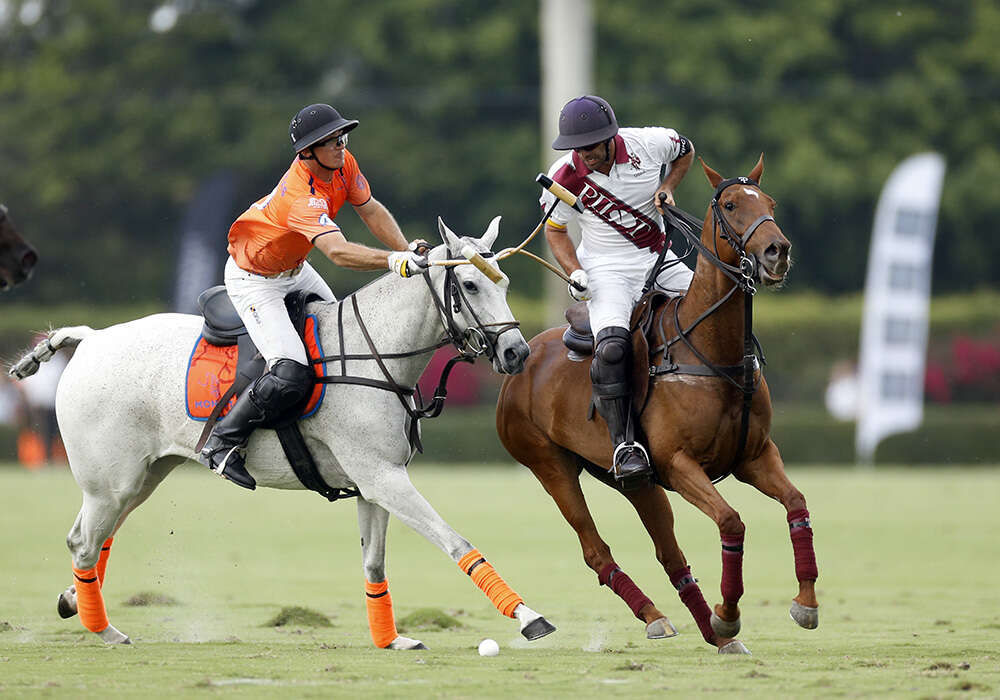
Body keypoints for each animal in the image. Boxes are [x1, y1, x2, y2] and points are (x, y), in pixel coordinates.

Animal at [9, 220, 556, 652]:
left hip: (144, 475)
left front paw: (391, 639)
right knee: (84, 541)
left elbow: (374, 563)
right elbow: (456, 541)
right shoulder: (382, 477)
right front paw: (529, 617)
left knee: (95, 537)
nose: (517, 354)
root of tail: (92, 338)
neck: (375, 352)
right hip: (112, 480)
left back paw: (74, 601)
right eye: (470, 284)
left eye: (505, 281)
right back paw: (105, 631)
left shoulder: (377, 481)